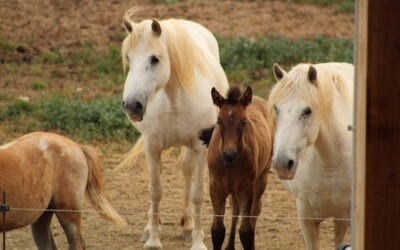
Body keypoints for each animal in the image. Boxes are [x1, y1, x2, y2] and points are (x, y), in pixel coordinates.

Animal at [119, 8, 228, 249]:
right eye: (128, 58)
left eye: (154, 59)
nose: (132, 105)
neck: (175, 99)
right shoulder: (152, 146)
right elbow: (155, 190)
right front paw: (153, 239)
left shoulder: (201, 147)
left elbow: (197, 193)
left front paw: (197, 241)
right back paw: (150, 227)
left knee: (187, 172)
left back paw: (187, 226)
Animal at [199, 86, 274, 250]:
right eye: (219, 121)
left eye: (244, 121)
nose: (230, 155)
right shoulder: (216, 187)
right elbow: (217, 231)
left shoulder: (246, 188)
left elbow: (246, 231)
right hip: (233, 188)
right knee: (235, 209)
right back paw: (230, 245)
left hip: (261, 178)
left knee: (254, 212)